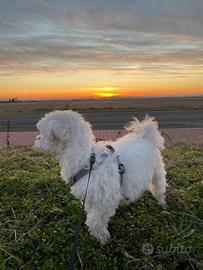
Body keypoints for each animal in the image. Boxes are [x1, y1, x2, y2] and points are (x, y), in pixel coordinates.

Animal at [33, 110, 167, 244]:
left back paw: (162, 204)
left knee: (159, 189)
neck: (86, 159)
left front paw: (102, 237)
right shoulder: (90, 196)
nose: (36, 138)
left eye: (43, 133)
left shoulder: (105, 201)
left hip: (157, 172)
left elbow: (94, 220)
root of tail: (145, 136)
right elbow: (90, 212)